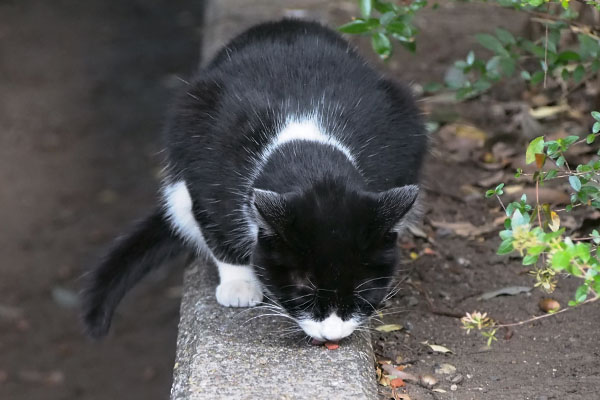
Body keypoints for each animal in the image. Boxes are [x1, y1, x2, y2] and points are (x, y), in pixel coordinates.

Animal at [82, 20, 426, 342]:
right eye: (304, 288)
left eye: (361, 289)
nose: (332, 335)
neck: (307, 148)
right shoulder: (205, 163)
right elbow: (216, 226)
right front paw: (239, 283)